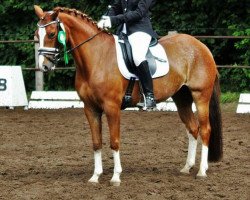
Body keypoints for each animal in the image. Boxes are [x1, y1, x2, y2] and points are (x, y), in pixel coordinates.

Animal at [33, 5, 223, 186]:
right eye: (36, 35)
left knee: (205, 129)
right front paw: (95, 176)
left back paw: (202, 171)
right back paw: (187, 167)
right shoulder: (90, 108)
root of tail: (202, 46)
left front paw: (115, 177)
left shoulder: (112, 107)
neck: (96, 57)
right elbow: (96, 142)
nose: (44, 66)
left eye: (51, 34)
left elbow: (114, 141)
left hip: (200, 96)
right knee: (193, 128)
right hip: (182, 98)